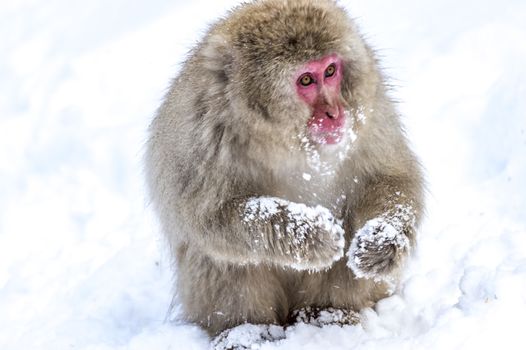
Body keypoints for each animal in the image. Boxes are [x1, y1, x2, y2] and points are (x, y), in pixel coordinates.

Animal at [144, 0, 424, 348]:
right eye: (306, 80)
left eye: (330, 71)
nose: (335, 113)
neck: (280, 140)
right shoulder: (201, 130)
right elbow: (206, 219)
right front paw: (307, 233)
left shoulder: (370, 111)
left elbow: (391, 178)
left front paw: (382, 240)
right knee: (219, 254)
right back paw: (246, 330)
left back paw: (328, 313)